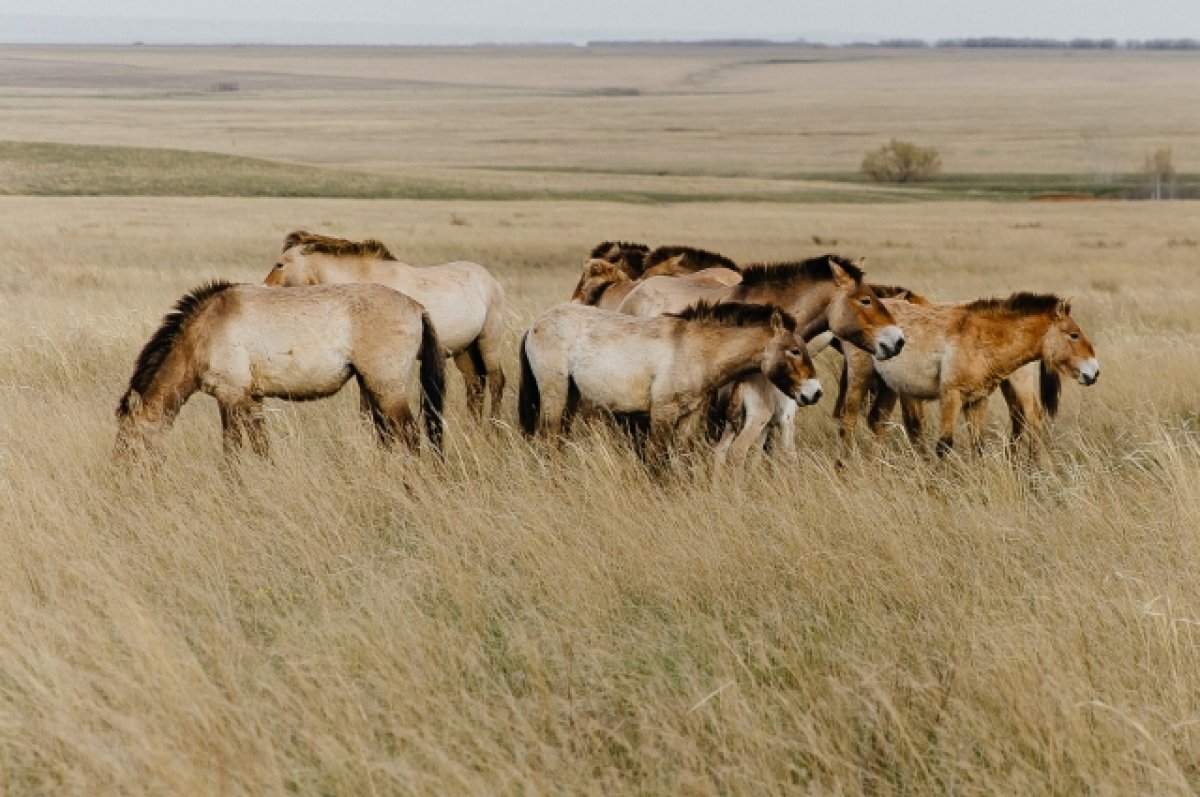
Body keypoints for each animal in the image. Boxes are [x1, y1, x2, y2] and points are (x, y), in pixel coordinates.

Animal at [115, 282, 446, 460]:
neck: (203, 332)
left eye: (127, 440)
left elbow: (232, 451)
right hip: (371, 387)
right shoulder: (253, 400)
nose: (121, 481)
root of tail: (417, 307)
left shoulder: (230, 398)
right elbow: (262, 448)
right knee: (388, 439)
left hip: (388, 389)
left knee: (411, 438)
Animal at [262, 231, 506, 422]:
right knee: (475, 386)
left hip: (489, 343)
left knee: (497, 382)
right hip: (463, 351)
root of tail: (490, 280)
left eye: (280, 264)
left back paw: (493, 429)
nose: (264, 289)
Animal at [513, 302, 816, 468]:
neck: (698, 350)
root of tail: (535, 325)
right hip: (554, 393)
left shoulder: (690, 416)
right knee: (548, 439)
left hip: (572, 396)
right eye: (794, 351)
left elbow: (682, 457)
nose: (815, 392)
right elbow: (656, 460)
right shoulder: (662, 414)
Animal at [835, 292, 1099, 458]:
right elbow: (943, 445)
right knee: (848, 421)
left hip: (889, 386)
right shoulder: (951, 396)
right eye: (1074, 335)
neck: (980, 339)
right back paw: (844, 468)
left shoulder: (976, 400)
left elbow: (978, 446)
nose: (1094, 372)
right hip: (860, 378)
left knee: (877, 422)